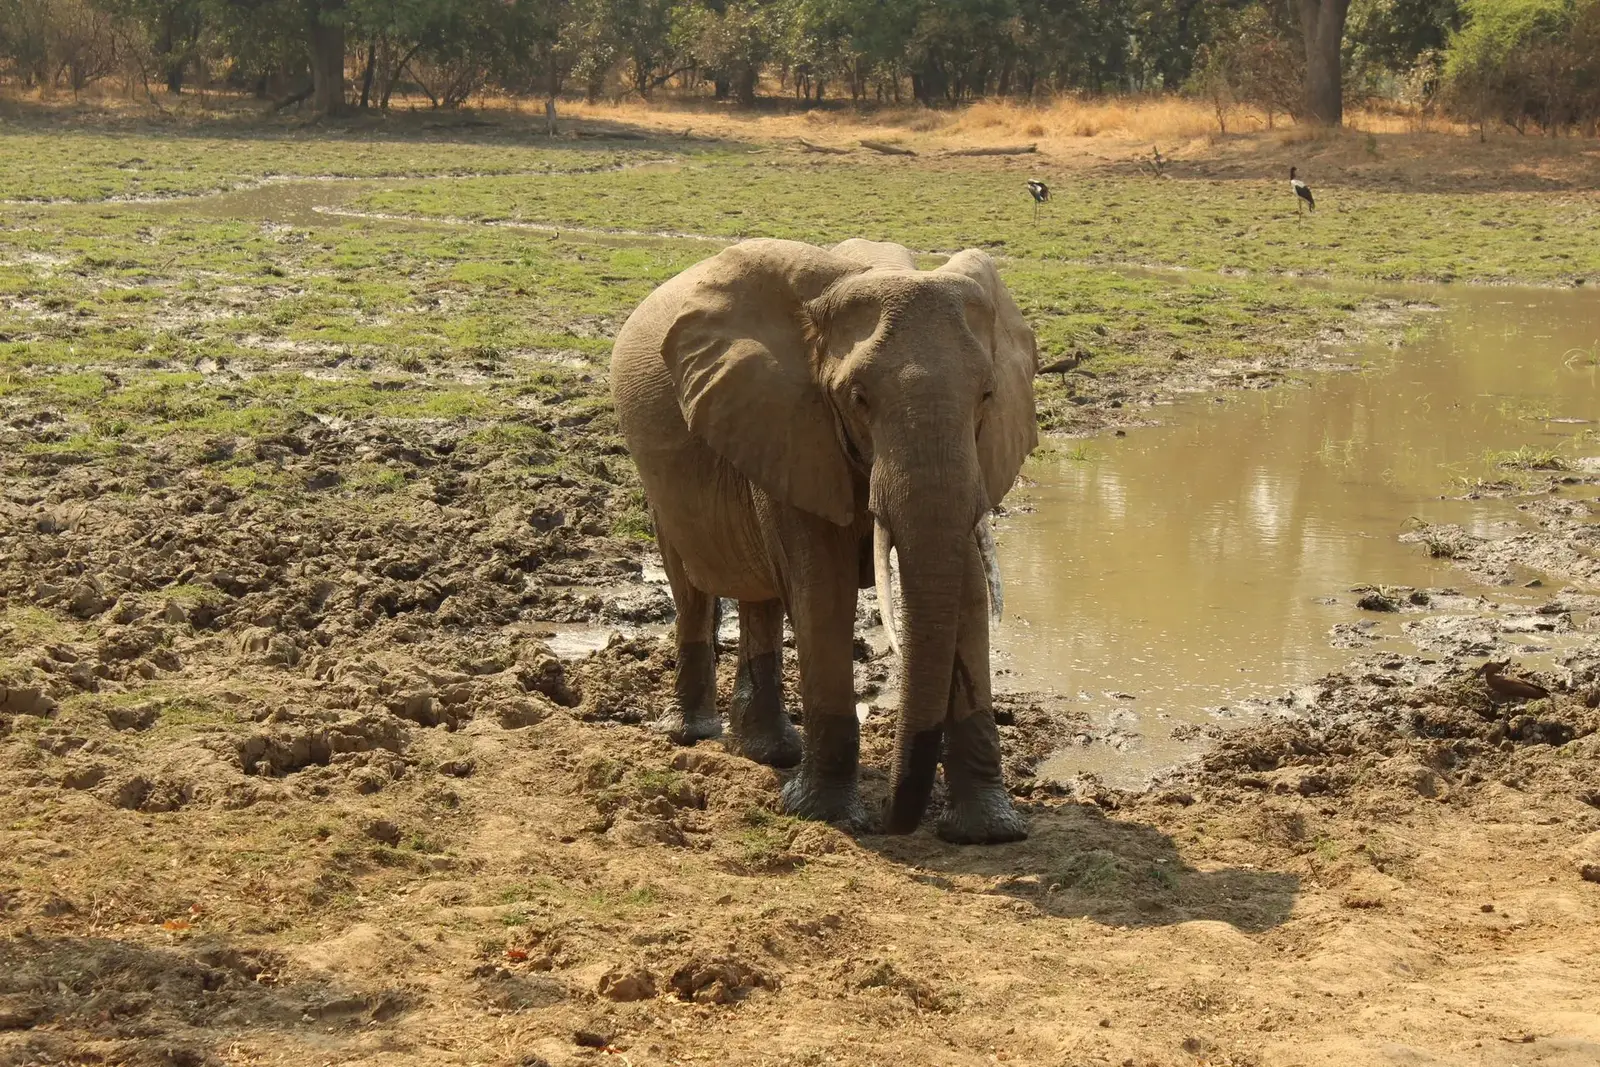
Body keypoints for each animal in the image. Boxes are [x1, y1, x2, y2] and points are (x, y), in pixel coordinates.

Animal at [609, 236, 1039, 843]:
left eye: (986, 394)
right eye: (858, 398)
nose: (891, 823)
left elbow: (970, 593)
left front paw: (989, 833)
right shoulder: (789, 424)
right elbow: (821, 593)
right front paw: (827, 816)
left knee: (761, 595)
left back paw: (772, 753)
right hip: (654, 468)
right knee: (691, 584)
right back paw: (693, 736)